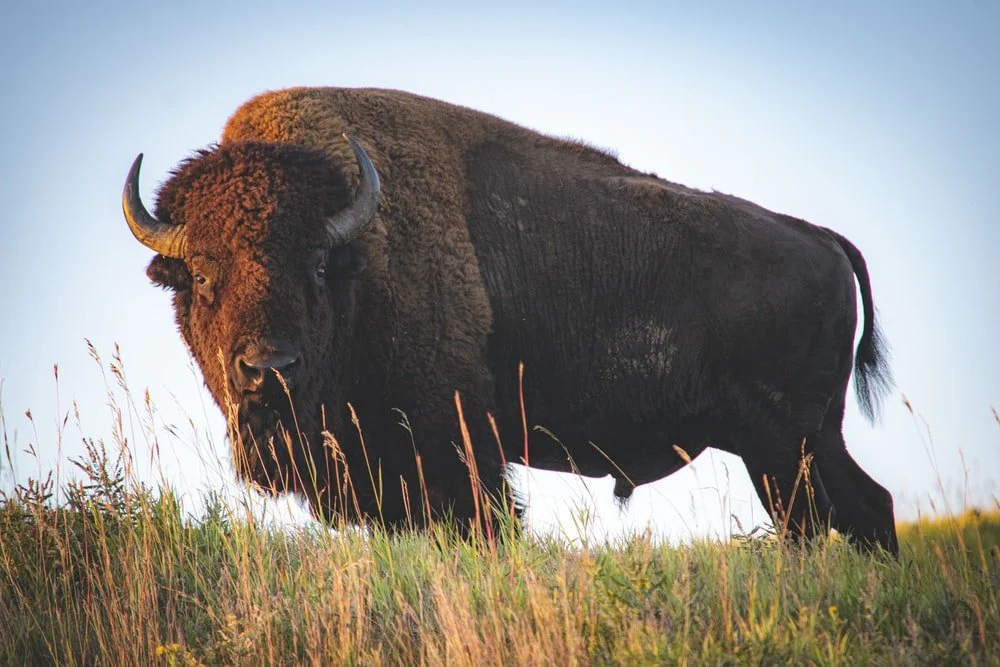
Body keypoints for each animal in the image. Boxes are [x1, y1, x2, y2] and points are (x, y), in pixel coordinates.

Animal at [123, 87, 897, 553]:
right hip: (785, 448)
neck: (363, 265)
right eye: (202, 274)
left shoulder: (455, 449)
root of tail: (818, 236)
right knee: (853, 514)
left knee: (861, 510)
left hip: (790, 444)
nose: (269, 370)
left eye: (316, 263)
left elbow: (488, 523)